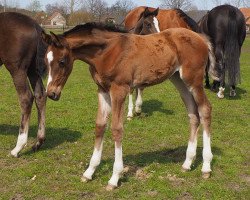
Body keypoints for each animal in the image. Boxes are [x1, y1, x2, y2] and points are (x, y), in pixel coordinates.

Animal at [0, 12, 47, 158]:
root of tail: (34, 25)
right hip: (33, 69)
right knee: (40, 95)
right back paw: (38, 142)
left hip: (18, 69)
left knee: (26, 98)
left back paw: (18, 148)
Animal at [42, 22, 219, 190]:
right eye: (46, 62)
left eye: (62, 61)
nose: (51, 93)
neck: (106, 52)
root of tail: (200, 38)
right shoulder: (102, 90)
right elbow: (100, 126)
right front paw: (89, 172)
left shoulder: (119, 89)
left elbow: (117, 129)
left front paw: (114, 177)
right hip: (178, 79)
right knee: (193, 113)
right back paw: (188, 163)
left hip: (194, 80)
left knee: (205, 110)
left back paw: (206, 166)